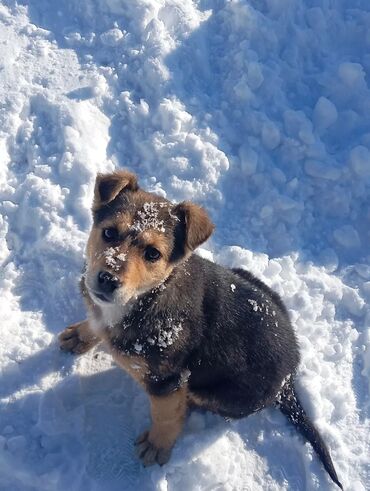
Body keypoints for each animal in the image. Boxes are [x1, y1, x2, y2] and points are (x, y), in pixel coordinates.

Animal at [58, 171, 344, 490]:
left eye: (152, 254)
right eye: (108, 233)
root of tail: (289, 380)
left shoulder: (168, 378)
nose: (107, 280)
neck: (145, 299)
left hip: (221, 391)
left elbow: (165, 415)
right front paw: (81, 335)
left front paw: (157, 445)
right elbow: (96, 323)